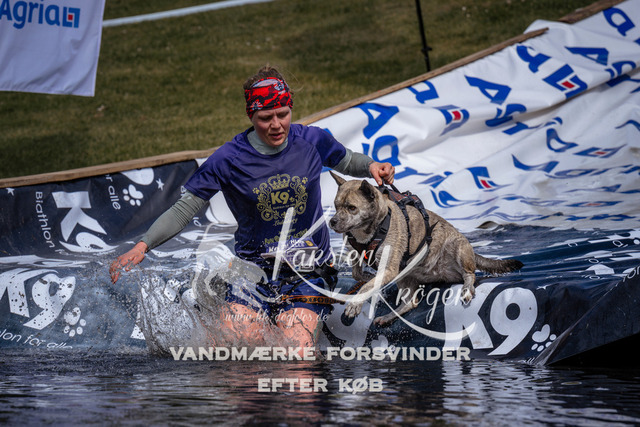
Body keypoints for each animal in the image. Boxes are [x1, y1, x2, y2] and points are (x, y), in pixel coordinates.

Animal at [328, 171, 523, 326]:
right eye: (336, 206)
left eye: (352, 208)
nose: (332, 222)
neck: (369, 230)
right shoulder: (359, 256)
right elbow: (358, 275)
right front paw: (369, 277)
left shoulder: (389, 268)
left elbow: (365, 287)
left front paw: (355, 303)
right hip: (405, 276)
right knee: (411, 303)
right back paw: (387, 317)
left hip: (457, 247)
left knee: (470, 274)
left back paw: (467, 289)